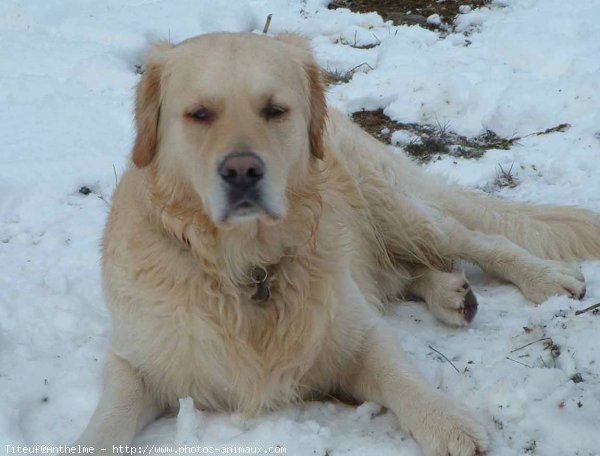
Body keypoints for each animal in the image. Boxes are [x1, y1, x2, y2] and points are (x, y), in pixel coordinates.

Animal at [74, 33, 600, 456]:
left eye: (275, 110)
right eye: (199, 115)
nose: (242, 171)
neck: (247, 268)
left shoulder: (356, 334)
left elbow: (401, 376)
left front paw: (447, 421)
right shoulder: (134, 362)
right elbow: (104, 425)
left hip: (393, 205)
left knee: (477, 238)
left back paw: (545, 278)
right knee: (406, 270)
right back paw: (451, 293)